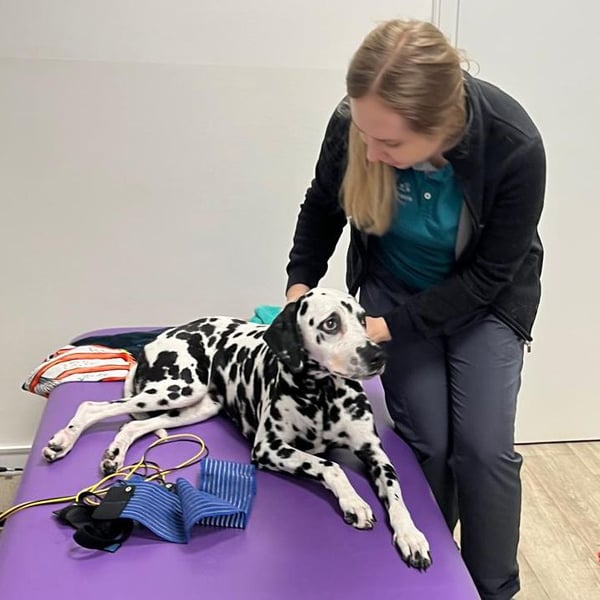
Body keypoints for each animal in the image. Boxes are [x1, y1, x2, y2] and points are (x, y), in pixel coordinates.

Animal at [42, 288, 431, 568]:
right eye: (331, 323)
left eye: (363, 320)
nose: (377, 356)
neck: (322, 395)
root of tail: (162, 336)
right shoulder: (269, 448)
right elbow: (331, 465)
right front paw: (354, 501)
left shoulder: (376, 455)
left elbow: (397, 495)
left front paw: (411, 535)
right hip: (177, 388)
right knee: (94, 406)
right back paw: (62, 441)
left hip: (192, 407)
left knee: (132, 427)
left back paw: (113, 455)